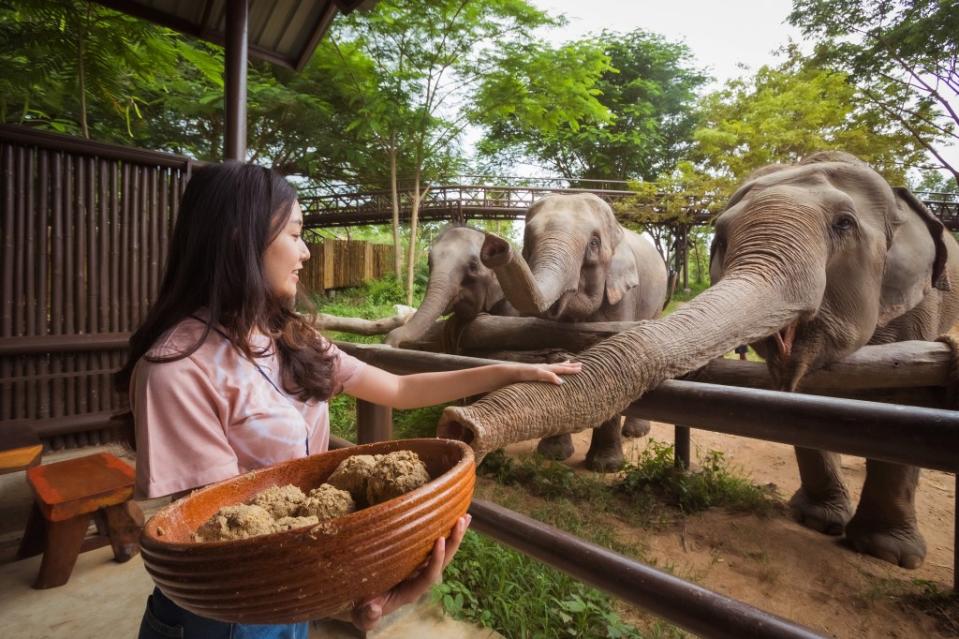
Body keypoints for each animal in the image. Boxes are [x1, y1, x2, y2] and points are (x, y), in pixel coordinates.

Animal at [484, 192, 672, 472]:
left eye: (594, 243)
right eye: (528, 240)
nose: (496, 245)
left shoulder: (622, 294)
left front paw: (605, 466)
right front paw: (552, 454)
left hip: (657, 303)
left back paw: (635, 433)